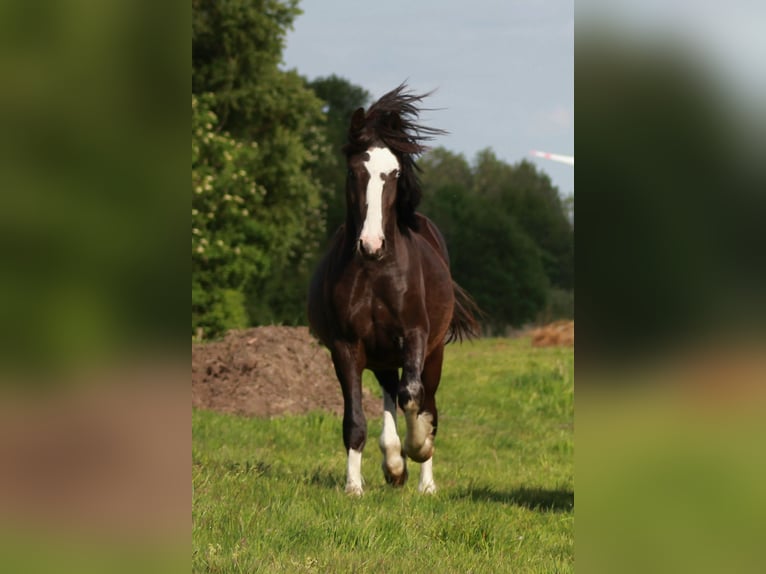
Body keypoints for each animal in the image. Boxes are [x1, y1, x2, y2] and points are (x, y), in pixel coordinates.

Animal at [308, 84, 479, 496]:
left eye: (395, 172)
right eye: (355, 171)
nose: (371, 244)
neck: (375, 271)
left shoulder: (414, 335)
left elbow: (413, 397)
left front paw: (419, 447)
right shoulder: (346, 345)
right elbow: (355, 420)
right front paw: (355, 486)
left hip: (431, 353)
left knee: (425, 401)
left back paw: (425, 481)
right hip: (382, 355)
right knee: (389, 397)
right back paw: (394, 466)